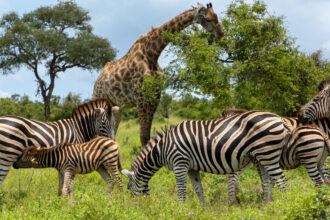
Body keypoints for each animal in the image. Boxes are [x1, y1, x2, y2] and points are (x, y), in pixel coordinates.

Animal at [91, 2, 223, 146]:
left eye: (216, 16)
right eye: (208, 19)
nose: (221, 34)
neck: (153, 53)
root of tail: (98, 79)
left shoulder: (154, 97)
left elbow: (147, 136)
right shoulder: (141, 98)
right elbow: (143, 136)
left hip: (117, 107)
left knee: (111, 134)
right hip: (99, 97)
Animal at [121, 111, 288, 205]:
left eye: (128, 188)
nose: (134, 206)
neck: (161, 149)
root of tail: (279, 118)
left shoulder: (179, 164)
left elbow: (181, 189)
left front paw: (181, 209)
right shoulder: (192, 168)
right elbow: (198, 189)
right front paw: (203, 209)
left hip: (268, 154)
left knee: (281, 181)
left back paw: (285, 205)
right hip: (260, 158)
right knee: (267, 181)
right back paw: (264, 206)